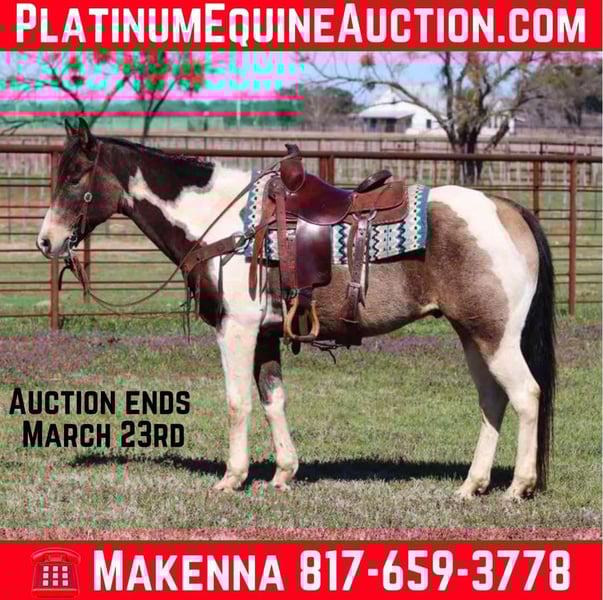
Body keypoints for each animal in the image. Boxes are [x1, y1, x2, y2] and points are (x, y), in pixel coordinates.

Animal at [37, 119, 556, 500]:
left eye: (76, 176)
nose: (47, 241)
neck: (225, 224)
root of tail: (508, 209)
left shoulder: (237, 330)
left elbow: (238, 402)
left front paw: (232, 478)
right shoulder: (266, 334)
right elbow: (273, 400)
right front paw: (284, 473)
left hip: (495, 337)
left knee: (526, 394)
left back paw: (518, 487)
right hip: (473, 335)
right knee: (492, 400)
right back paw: (472, 485)